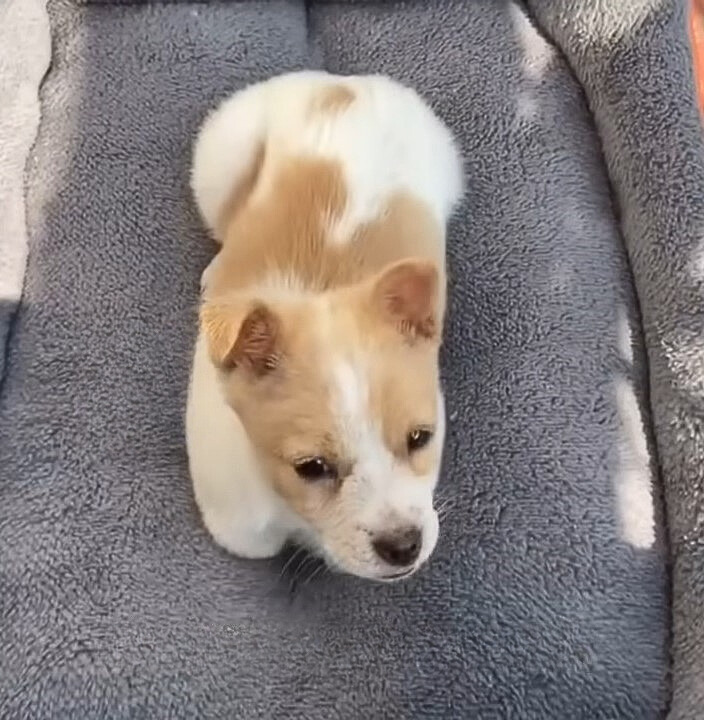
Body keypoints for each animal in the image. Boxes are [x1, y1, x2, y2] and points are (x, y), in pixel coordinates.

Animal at [186, 70, 462, 584]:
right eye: (312, 467)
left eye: (421, 438)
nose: (404, 546)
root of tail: (341, 84)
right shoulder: (238, 525)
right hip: (217, 162)